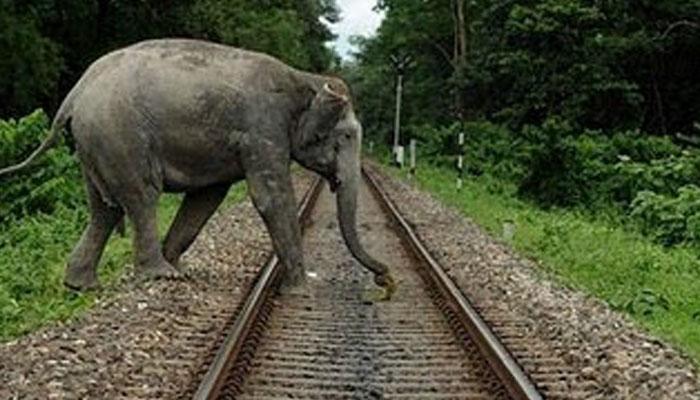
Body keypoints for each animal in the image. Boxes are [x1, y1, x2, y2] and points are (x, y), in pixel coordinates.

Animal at [0, 39, 394, 296]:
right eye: (346, 136)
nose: (386, 279)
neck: (304, 78)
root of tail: (76, 92)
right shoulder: (262, 129)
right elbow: (271, 197)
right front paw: (300, 288)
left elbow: (206, 198)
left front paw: (180, 263)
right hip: (119, 134)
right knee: (141, 197)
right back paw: (159, 276)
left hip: (95, 142)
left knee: (105, 209)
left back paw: (82, 285)